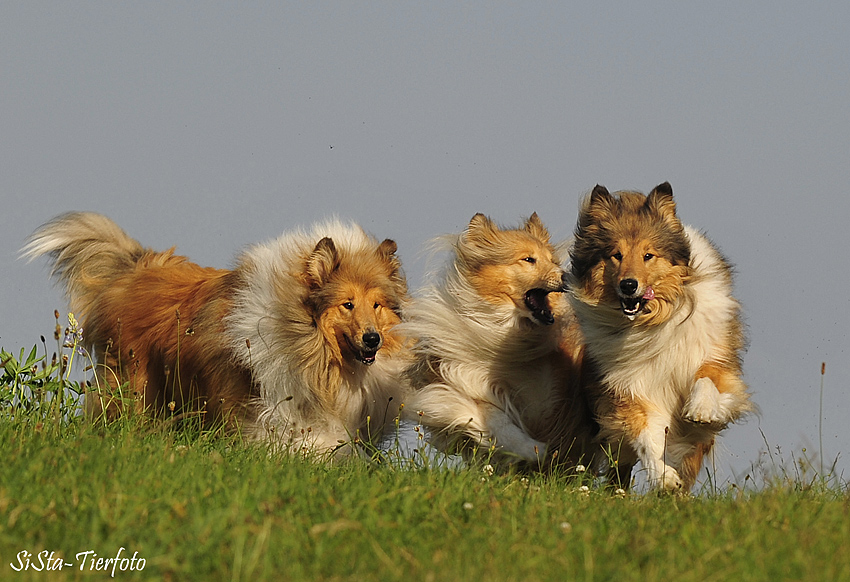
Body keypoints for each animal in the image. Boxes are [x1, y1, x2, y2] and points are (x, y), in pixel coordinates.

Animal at [402, 213, 588, 466]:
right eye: (528, 259)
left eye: (552, 260)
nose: (567, 276)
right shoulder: (465, 380)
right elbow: (493, 417)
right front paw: (532, 449)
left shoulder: (548, 394)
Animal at [568, 184, 752, 492]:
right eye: (615, 254)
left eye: (648, 255)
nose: (628, 285)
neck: (654, 322)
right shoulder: (628, 389)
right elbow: (647, 438)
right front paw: (664, 477)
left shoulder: (716, 357)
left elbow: (708, 378)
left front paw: (701, 409)